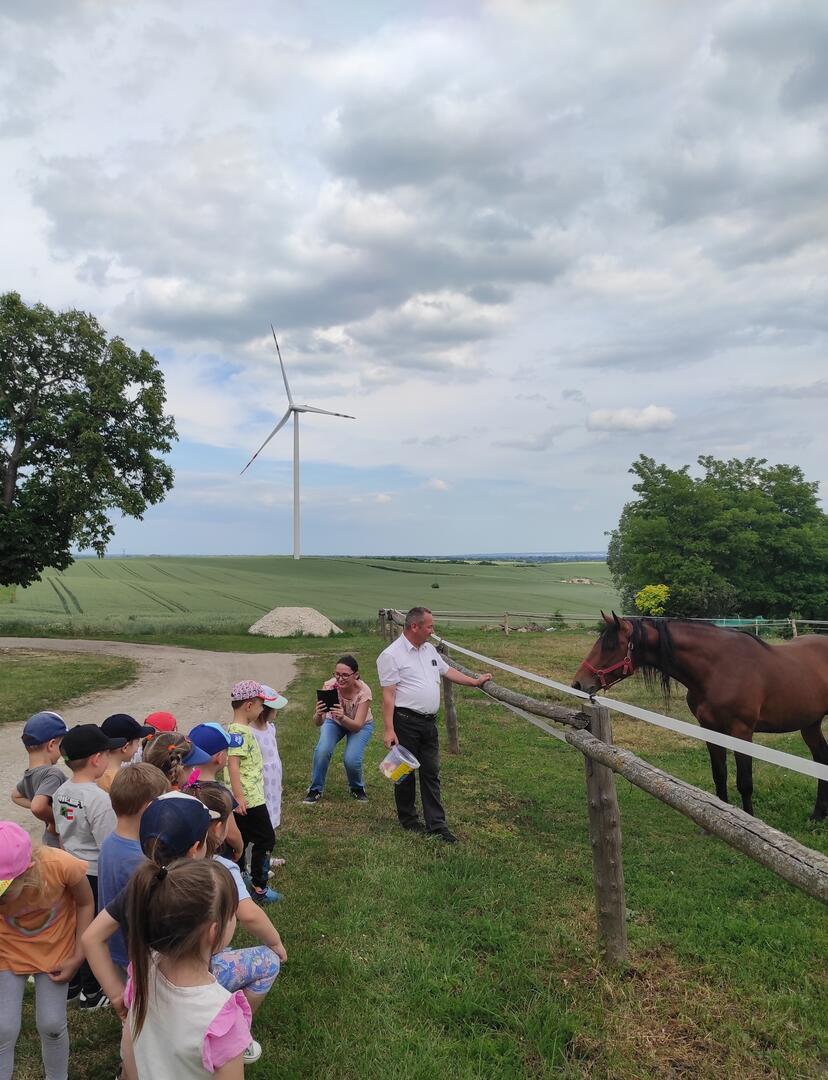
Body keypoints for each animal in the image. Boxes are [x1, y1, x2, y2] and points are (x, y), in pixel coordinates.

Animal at [571, 612, 828, 820]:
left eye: (610, 646)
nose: (578, 683)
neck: (719, 668)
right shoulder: (710, 728)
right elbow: (719, 774)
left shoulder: (742, 732)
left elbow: (745, 782)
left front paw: (750, 820)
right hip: (810, 724)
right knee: (821, 758)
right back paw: (818, 815)